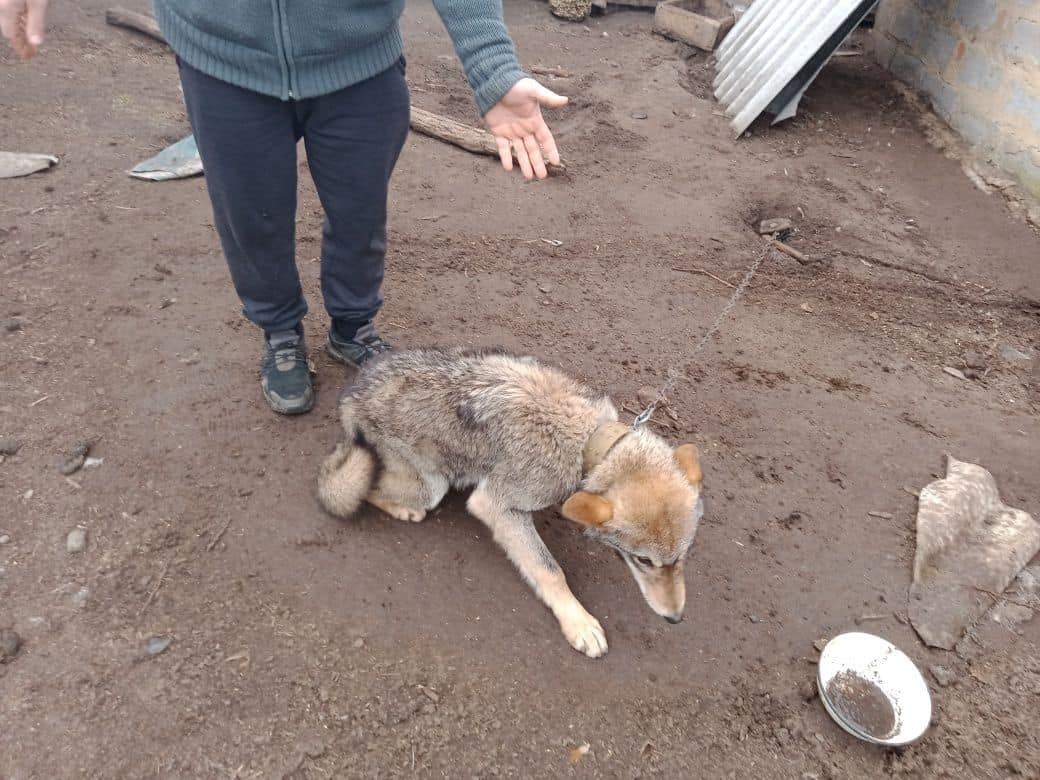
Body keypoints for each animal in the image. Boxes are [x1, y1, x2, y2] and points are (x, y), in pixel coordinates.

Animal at [318, 349, 707, 661]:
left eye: (682, 557)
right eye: (644, 561)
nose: (675, 618)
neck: (589, 440)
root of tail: (349, 396)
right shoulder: (495, 504)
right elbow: (551, 571)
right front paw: (579, 623)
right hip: (429, 487)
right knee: (339, 487)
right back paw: (399, 507)